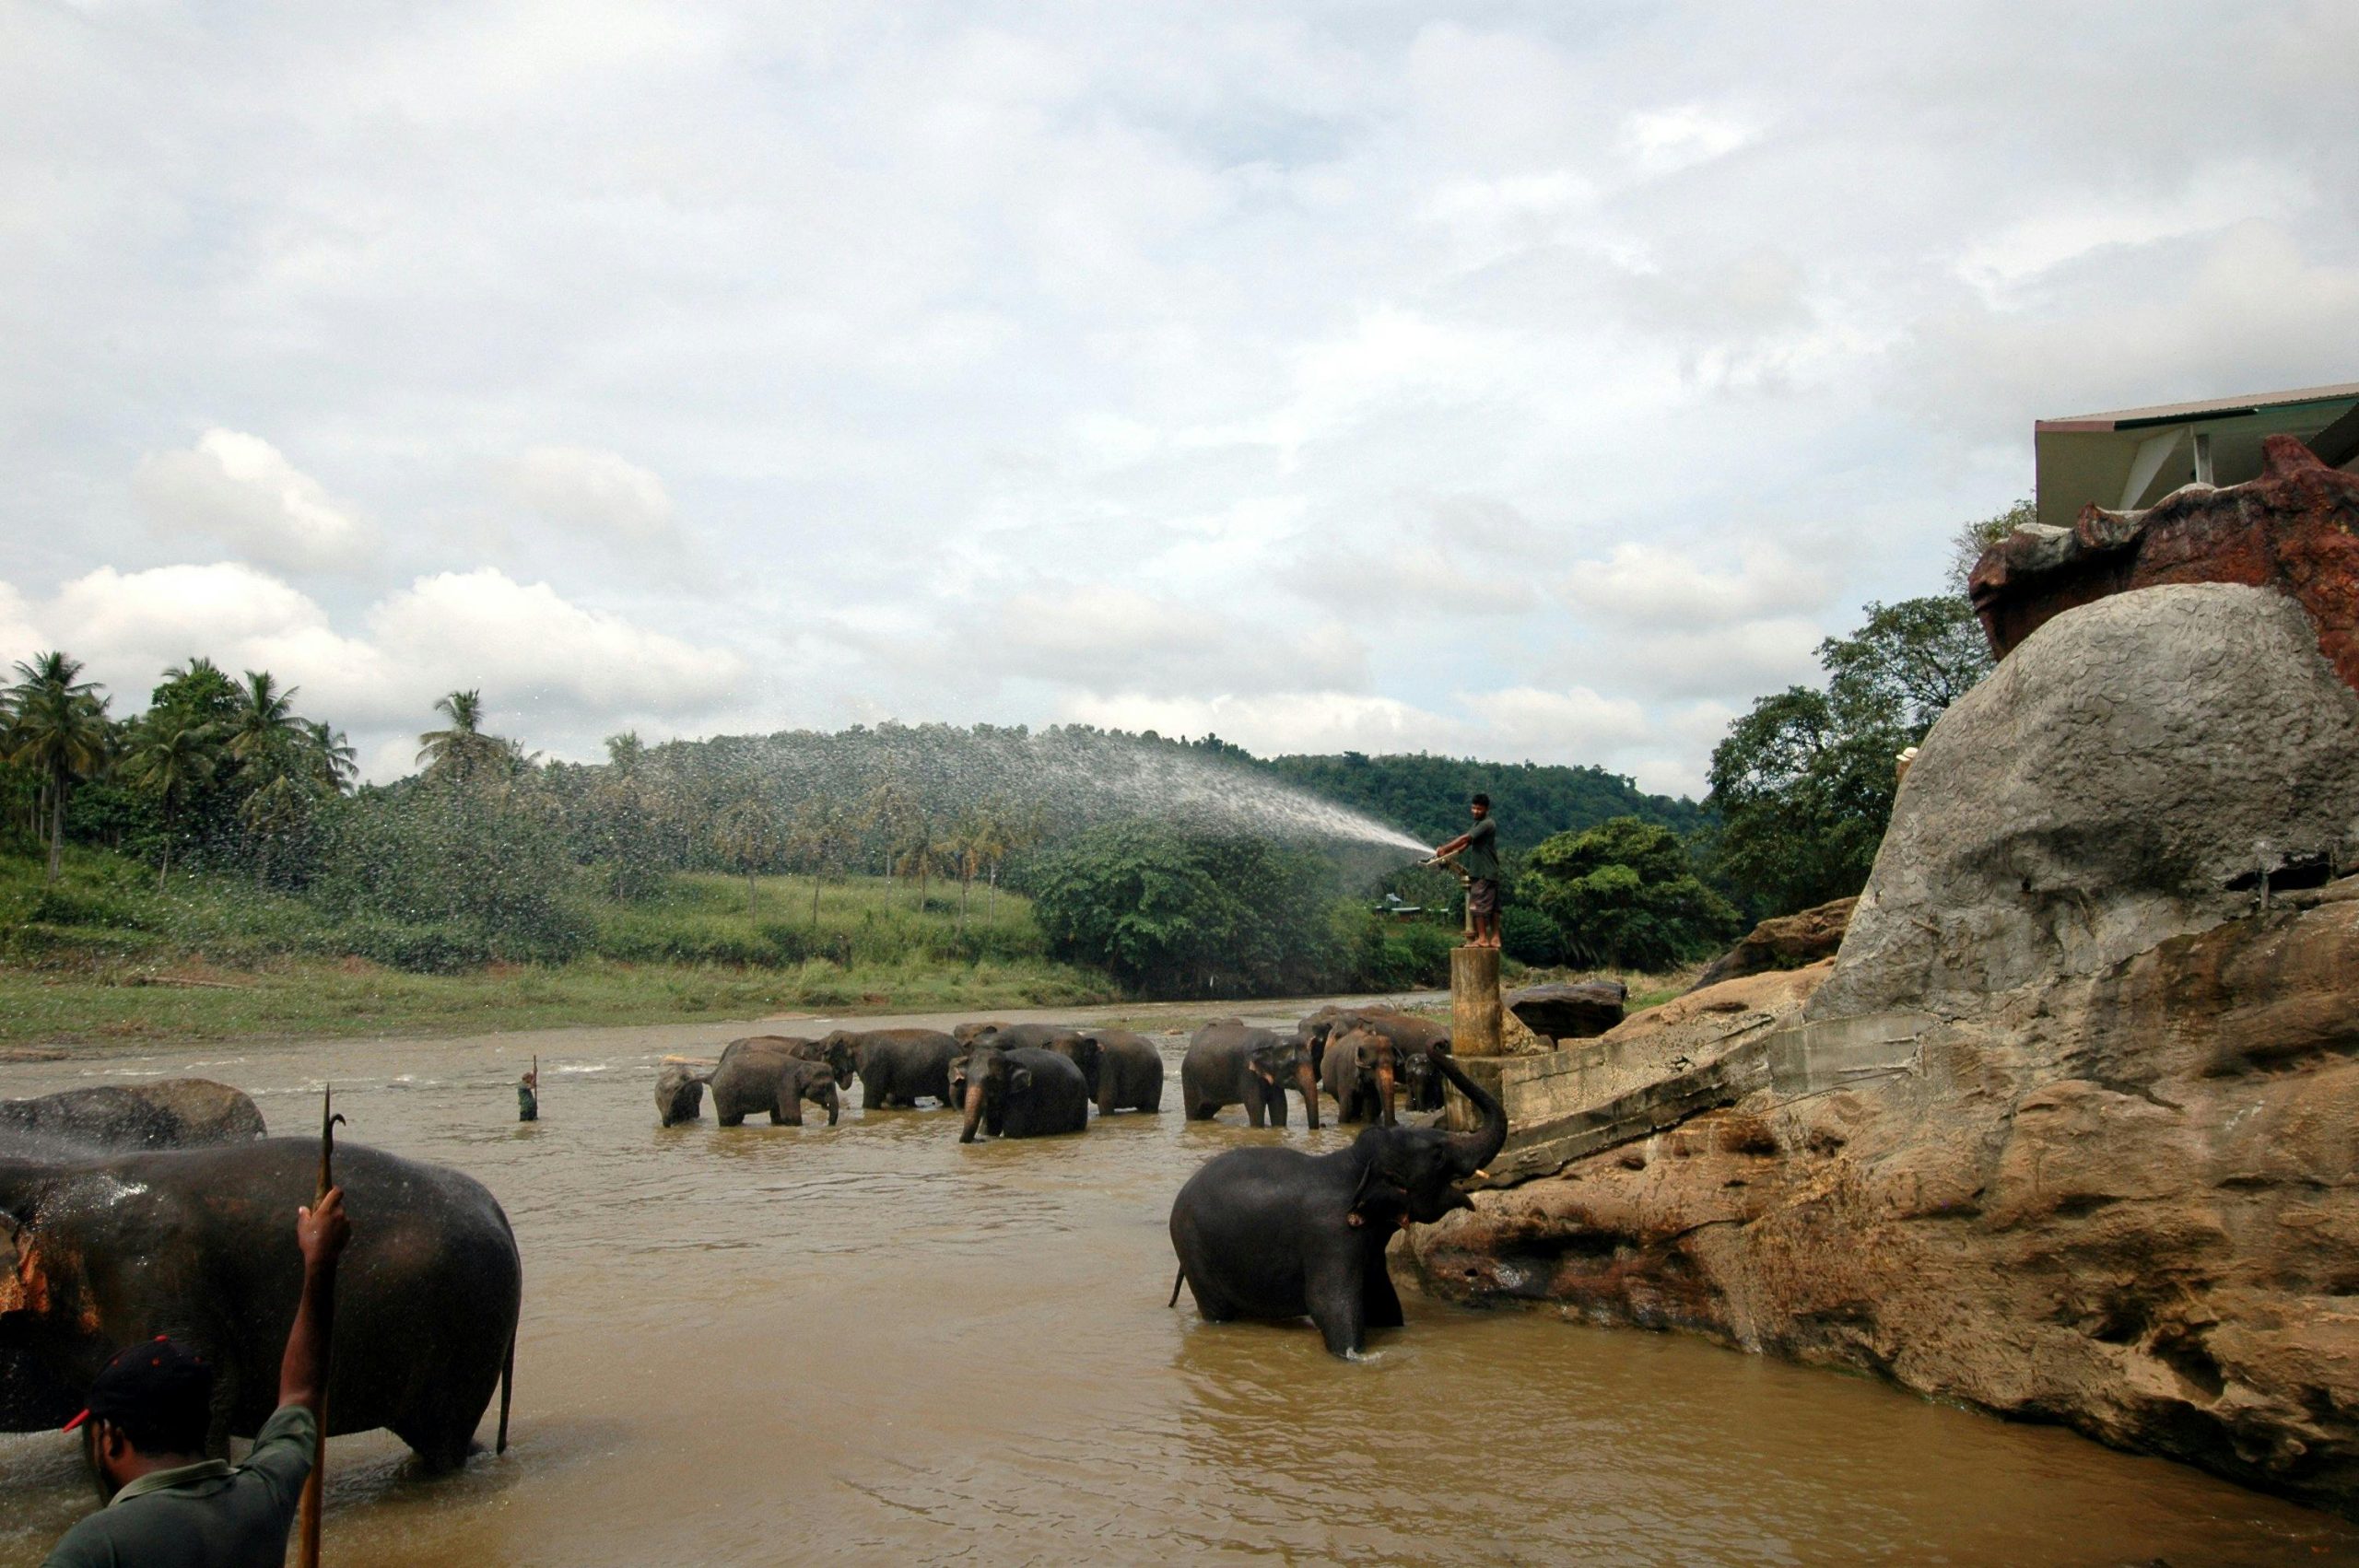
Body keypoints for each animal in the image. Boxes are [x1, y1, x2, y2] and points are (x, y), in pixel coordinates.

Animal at [0, 1138, 522, 1470]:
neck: (46, 1183)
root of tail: (498, 1211)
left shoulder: (150, 1276)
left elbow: (209, 1380)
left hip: (468, 1325)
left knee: (442, 1442)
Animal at [953, 1045, 1090, 1142]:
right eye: (967, 1079)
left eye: (992, 1080)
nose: (979, 1140)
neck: (1007, 1057)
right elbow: (989, 1129)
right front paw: (987, 1134)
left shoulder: (1023, 1096)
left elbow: (1012, 1131)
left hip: (1080, 1102)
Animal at [1166, 1050, 1506, 1357]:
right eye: (1438, 1155)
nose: (1436, 1047)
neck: (1355, 1163)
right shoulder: (1331, 1237)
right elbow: (1329, 1304)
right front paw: (1353, 1356)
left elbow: (1383, 1301)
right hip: (1192, 1249)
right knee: (1216, 1309)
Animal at [1180, 1021, 1317, 1129]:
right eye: (1291, 1065)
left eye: (1312, 1061)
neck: (1273, 1041)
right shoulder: (1247, 1072)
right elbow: (1255, 1105)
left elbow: (1280, 1105)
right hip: (1189, 1079)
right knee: (1193, 1111)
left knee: (1207, 1110)